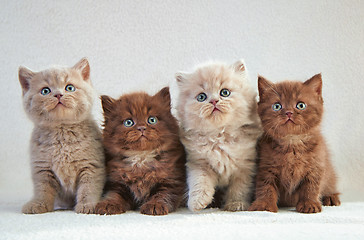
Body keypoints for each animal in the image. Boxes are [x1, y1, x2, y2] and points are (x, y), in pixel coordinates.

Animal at [18, 58, 105, 214]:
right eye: (45, 91)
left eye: (69, 88)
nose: (58, 94)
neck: (62, 133)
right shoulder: (42, 169)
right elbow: (42, 190)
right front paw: (38, 204)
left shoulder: (91, 166)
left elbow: (89, 188)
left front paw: (88, 205)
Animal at [95, 86, 186, 216]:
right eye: (128, 122)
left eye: (152, 120)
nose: (141, 128)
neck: (141, 157)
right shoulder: (117, 183)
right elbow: (113, 195)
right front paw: (108, 205)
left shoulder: (171, 180)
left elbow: (162, 195)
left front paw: (154, 205)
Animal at [176, 60, 262, 212]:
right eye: (201, 97)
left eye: (225, 92)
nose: (214, 101)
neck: (219, 136)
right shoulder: (198, 163)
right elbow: (199, 182)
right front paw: (197, 202)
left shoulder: (245, 166)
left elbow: (239, 189)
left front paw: (236, 205)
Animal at [249, 73, 340, 214]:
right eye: (277, 106)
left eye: (300, 105)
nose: (289, 112)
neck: (292, 144)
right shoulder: (266, 167)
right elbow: (265, 186)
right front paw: (264, 205)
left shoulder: (316, 165)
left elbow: (311, 186)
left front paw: (309, 204)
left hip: (329, 174)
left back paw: (331, 197)